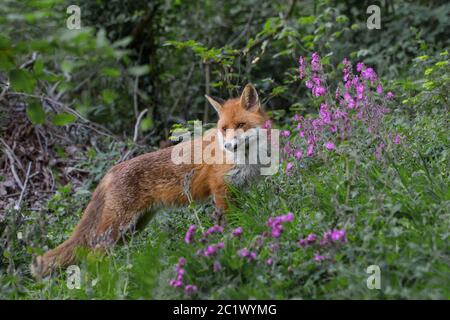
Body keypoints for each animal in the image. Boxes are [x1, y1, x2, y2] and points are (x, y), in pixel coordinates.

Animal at [32, 84, 270, 276]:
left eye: (240, 125)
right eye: (224, 129)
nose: (229, 146)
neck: (247, 158)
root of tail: (112, 169)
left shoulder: (238, 189)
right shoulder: (220, 190)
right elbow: (231, 222)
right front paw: (232, 240)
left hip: (132, 228)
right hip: (118, 226)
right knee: (92, 255)